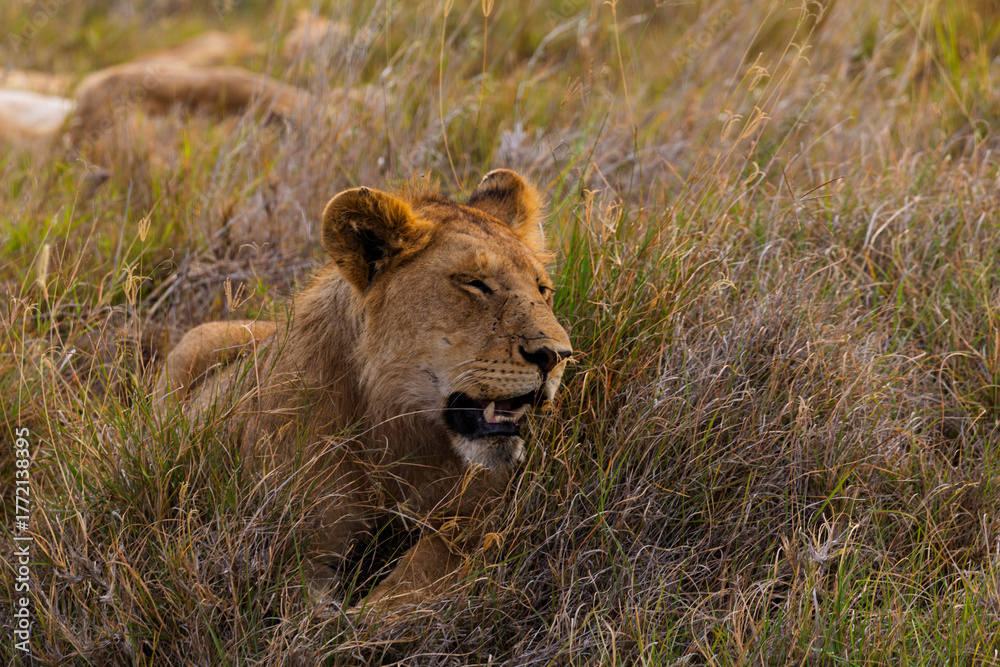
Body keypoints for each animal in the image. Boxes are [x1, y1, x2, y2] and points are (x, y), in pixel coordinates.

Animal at [153, 169, 572, 611]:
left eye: (543, 289)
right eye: (475, 284)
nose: (557, 355)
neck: (395, 427)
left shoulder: (483, 506)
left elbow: (422, 571)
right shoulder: (288, 537)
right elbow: (308, 609)